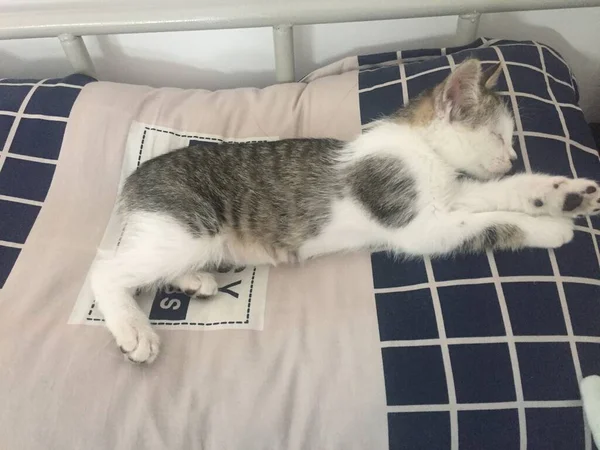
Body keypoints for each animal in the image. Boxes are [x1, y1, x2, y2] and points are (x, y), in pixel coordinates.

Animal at [90, 59, 600, 362]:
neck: (422, 150)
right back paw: (134, 329)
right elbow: (489, 222)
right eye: (497, 136)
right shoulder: (417, 224)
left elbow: (502, 195)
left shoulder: (450, 196)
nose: (512, 157)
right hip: (188, 227)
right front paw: (553, 229)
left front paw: (565, 195)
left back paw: (195, 281)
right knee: (106, 269)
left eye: (510, 140)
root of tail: (135, 177)